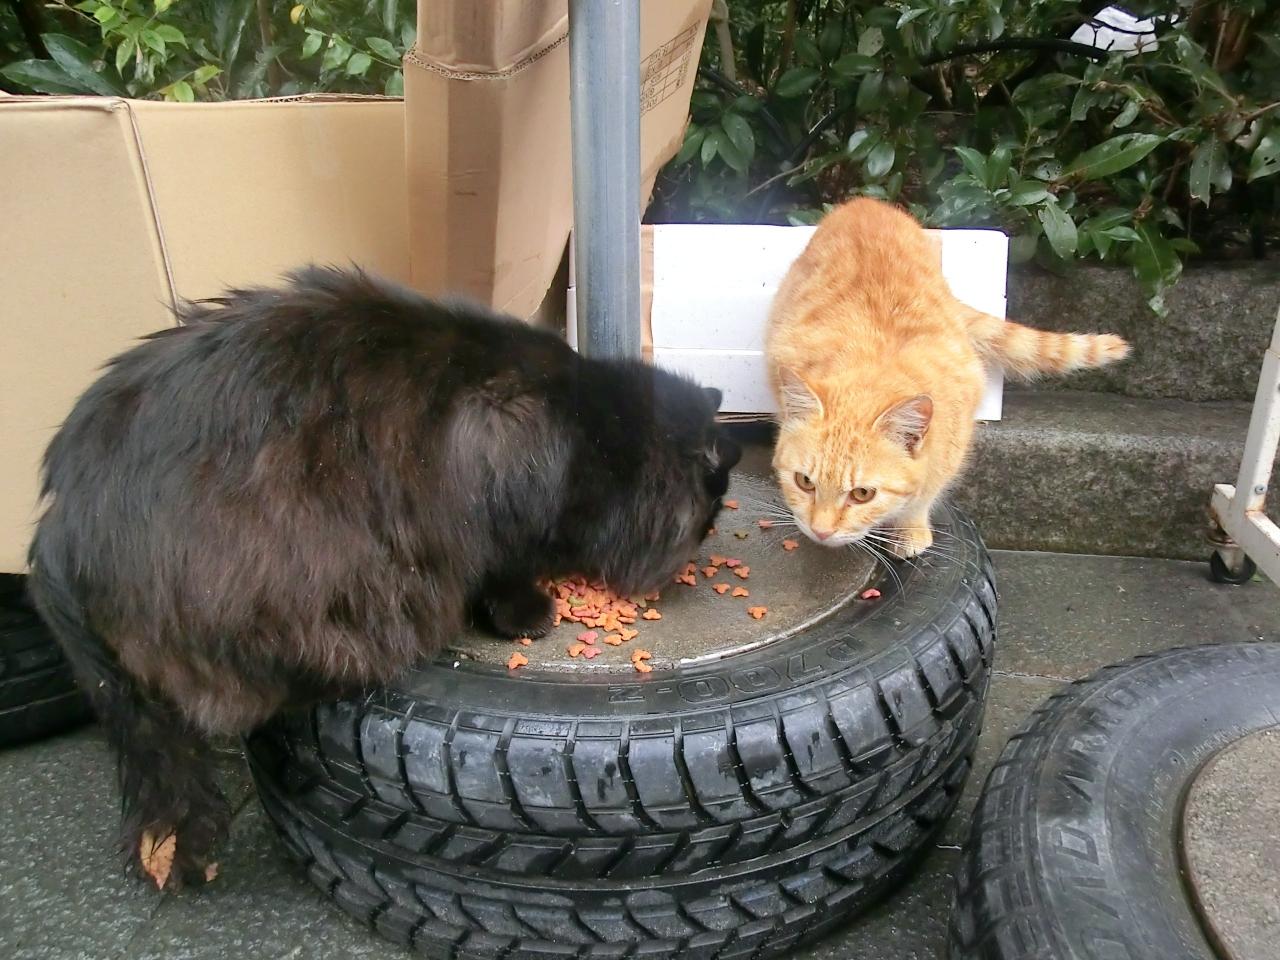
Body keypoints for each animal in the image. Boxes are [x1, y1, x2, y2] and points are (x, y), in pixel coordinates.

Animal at [27, 265, 740, 889]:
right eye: (705, 513)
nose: (704, 538)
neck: (591, 432)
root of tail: (55, 532)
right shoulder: (497, 495)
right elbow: (502, 576)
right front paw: (529, 615)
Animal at [766, 197, 1129, 557]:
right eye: (804, 482)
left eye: (862, 494)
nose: (821, 532)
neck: (875, 362)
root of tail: (865, 202)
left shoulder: (955, 442)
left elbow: (926, 491)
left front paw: (910, 527)